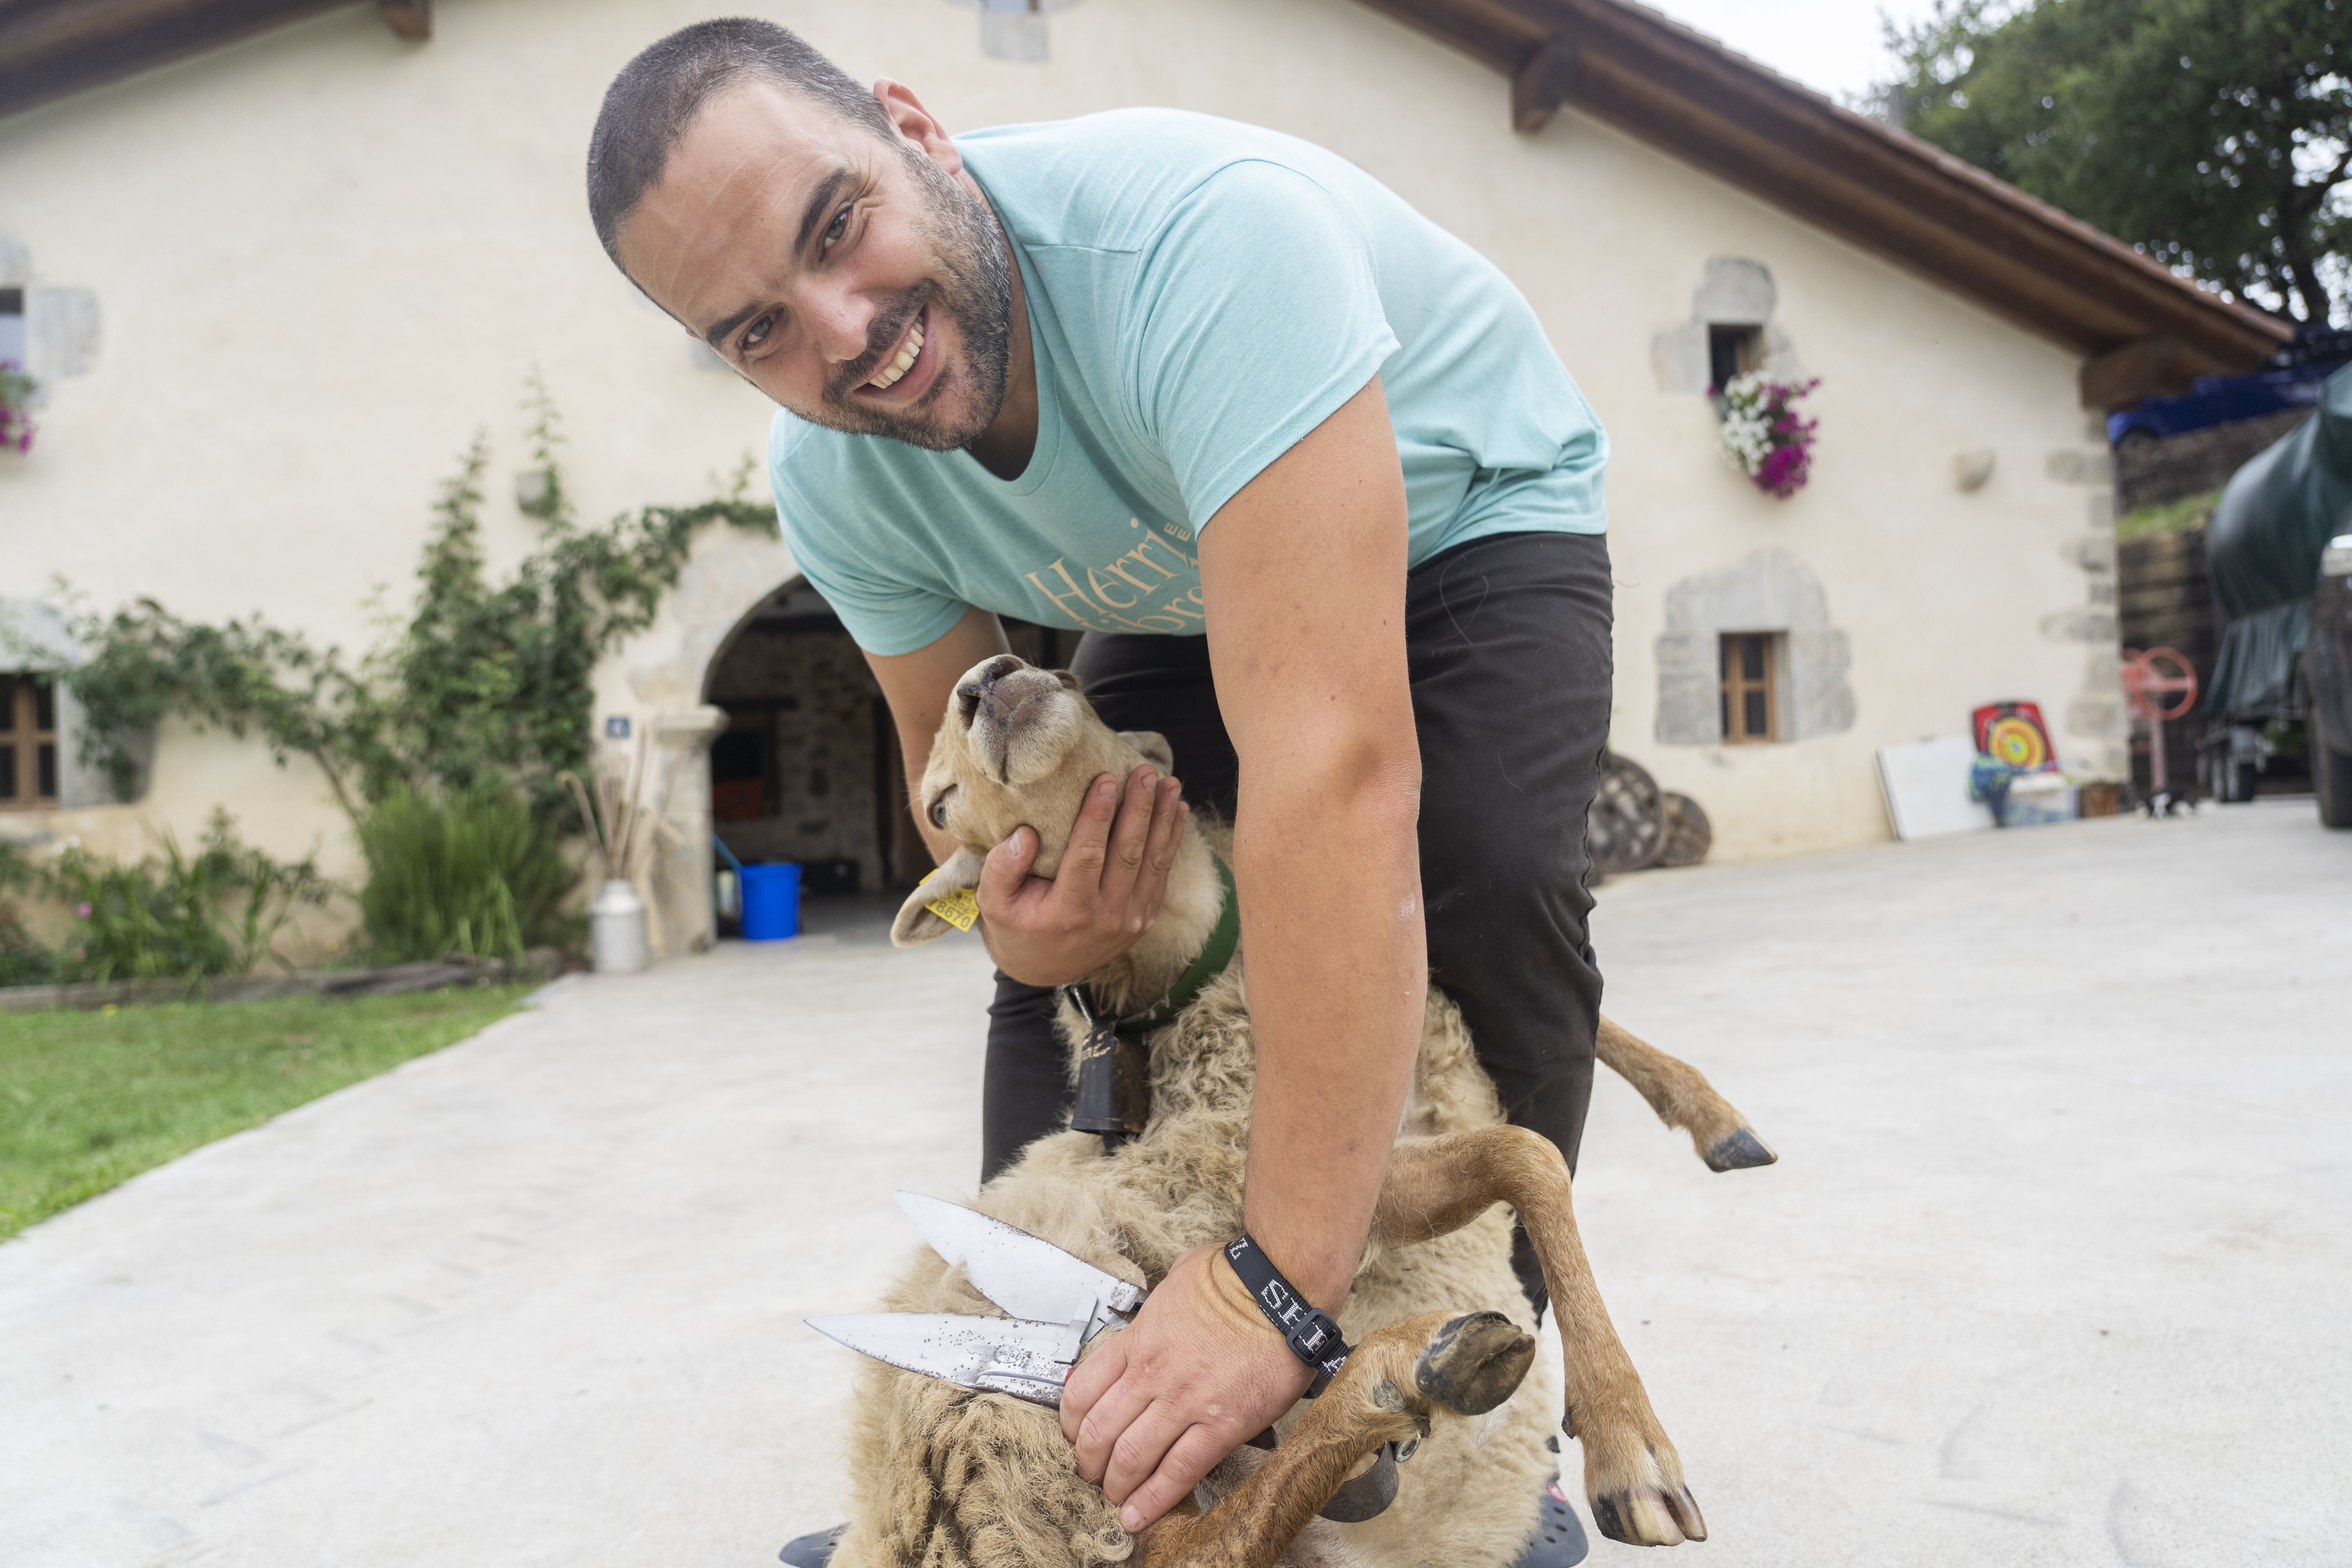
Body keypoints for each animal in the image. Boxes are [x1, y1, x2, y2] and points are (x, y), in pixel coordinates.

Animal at [837, 653, 1769, 1568]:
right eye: (939, 805)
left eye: (1071, 682)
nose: (985, 681)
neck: (1195, 980)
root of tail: (909, 1533)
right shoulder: (1342, 1188)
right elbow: (1529, 1154)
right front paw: (1631, 1452)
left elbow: (1582, 1056)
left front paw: (1715, 1115)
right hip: (1041, 1415)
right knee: (1196, 1545)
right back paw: (1403, 1372)